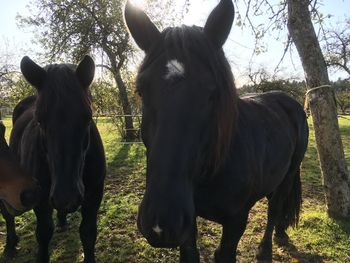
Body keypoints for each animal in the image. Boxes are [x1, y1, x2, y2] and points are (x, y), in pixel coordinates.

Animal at [3, 55, 105, 262]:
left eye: (88, 117)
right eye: (39, 120)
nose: (66, 196)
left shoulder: (95, 194)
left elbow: (88, 233)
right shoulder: (38, 197)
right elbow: (43, 232)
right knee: (8, 214)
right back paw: (10, 244)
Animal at [124, 1, 308, 262]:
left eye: (213, 94)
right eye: (141, 90)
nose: (161, 223)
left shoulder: (235, 223)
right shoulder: (187, 224)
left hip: (289, 173)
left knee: (274, 209)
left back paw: (265, 250)